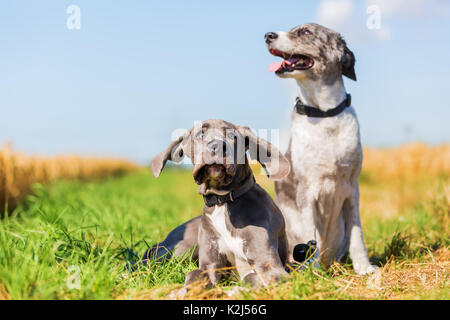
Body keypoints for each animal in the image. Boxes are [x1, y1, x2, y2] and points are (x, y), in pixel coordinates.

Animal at [266, 22, 378, 274]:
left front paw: (364, 268)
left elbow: (357, 235)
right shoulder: (307, 191)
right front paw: (312, 273)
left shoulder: (352, 189)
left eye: (305, 32)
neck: (324, 115)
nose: (268, 35)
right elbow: (310, 235)